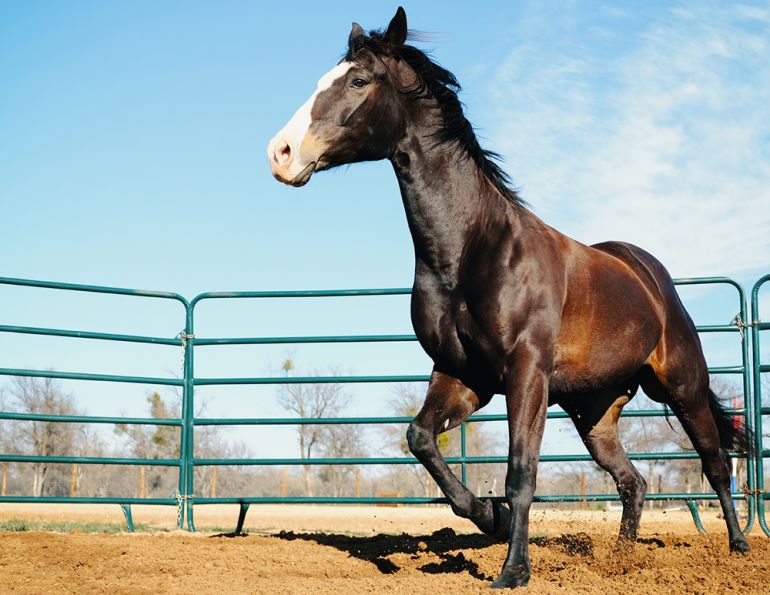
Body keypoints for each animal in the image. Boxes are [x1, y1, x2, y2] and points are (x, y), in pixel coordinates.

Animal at [267, 7, 751, 588]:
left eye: (358, 80)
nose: (280, 153)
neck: (473, 248)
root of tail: (651, 278)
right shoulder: (462, 375)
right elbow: (420, 439)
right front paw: (489, 516)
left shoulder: (525, 374)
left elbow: (522, 472)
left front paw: (513, 571)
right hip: (594, 413)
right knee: (633, 482)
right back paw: (620, 560)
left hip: (683, 388)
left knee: (715, 464)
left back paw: (740, 549)